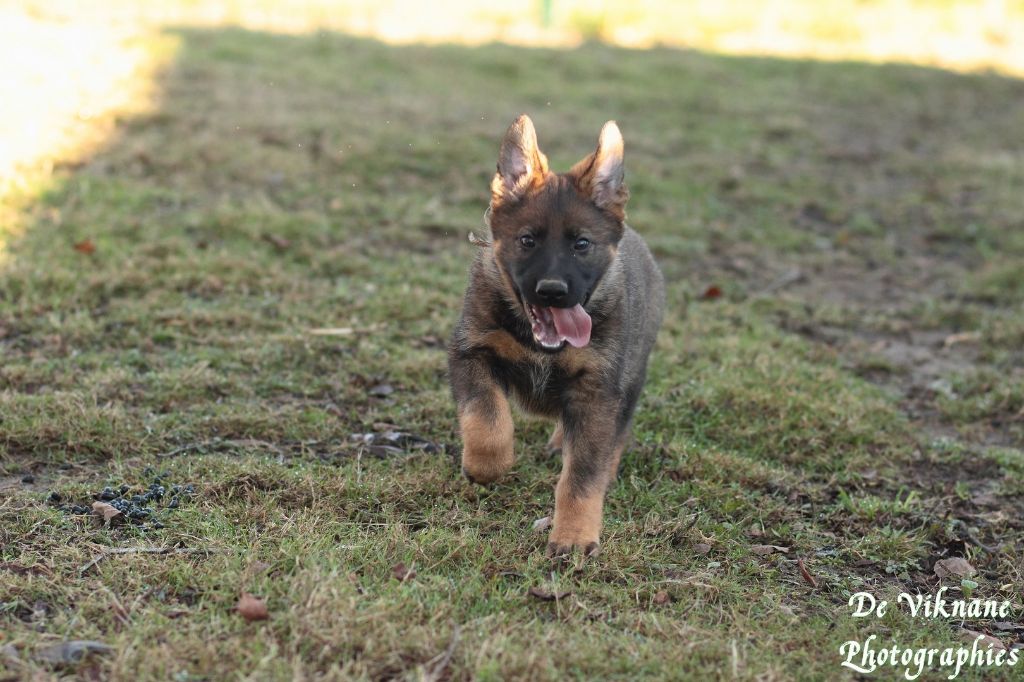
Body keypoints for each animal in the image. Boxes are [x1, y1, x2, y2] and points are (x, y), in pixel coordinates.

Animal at [448, 114, 665, 558]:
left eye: (582, 244)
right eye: (527, 240)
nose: (552, 291)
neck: (542, 348)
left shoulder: (597, 390)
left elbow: (583, 474)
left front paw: (574, 536)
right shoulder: (472, 351)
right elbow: (486, 415)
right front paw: (485, 466)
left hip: (631, 378)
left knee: (616, 435)